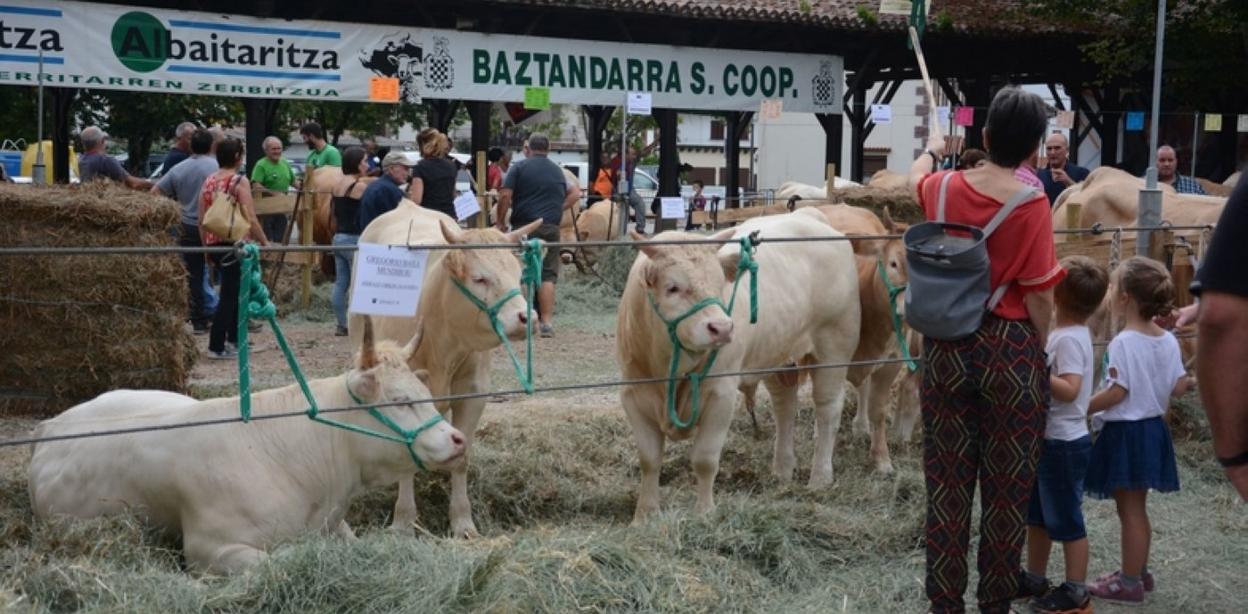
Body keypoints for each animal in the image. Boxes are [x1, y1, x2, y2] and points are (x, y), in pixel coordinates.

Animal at [30, 319, 469, 574]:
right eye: (400, 400)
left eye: (425, 394)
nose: (458, 439)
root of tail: (51, 425)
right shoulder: (212, 548)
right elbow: (281, 559)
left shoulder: (335, 523)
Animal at [351, 200, 546, 536]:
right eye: (480, 278)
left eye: (518, 274)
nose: (528, 318)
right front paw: (404, 520)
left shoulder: (473, 394)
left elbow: (462, 456)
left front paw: (462, 522)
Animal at [614, 208, 858, 521]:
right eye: (673, 287)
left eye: (720, 284)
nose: (722, 328)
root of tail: (811, 216)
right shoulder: (633, 394)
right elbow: (649, 459)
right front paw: (645, 515)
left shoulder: (721, 395)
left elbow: (705, 459)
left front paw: (705, 513)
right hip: (778, 356)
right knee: (785, 408)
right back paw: (782, 470)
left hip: (833, 348)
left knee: (828, 410)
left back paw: (820, 478)